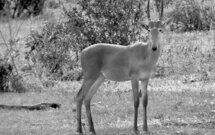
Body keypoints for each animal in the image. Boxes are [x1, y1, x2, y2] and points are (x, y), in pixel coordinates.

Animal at [74, 0, 165, 134]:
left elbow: (145, 102)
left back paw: (92, 130)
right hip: (89, 77)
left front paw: (146, 129)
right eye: (148, 30)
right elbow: (136, 101)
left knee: (87, 99)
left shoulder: (145, 79)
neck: (144, 53)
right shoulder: (134, 78)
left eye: (160, 29)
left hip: (99, 78)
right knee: (79, 97)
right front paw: (135, 129)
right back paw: (80, 130)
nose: (154, 47)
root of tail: (83, 52)